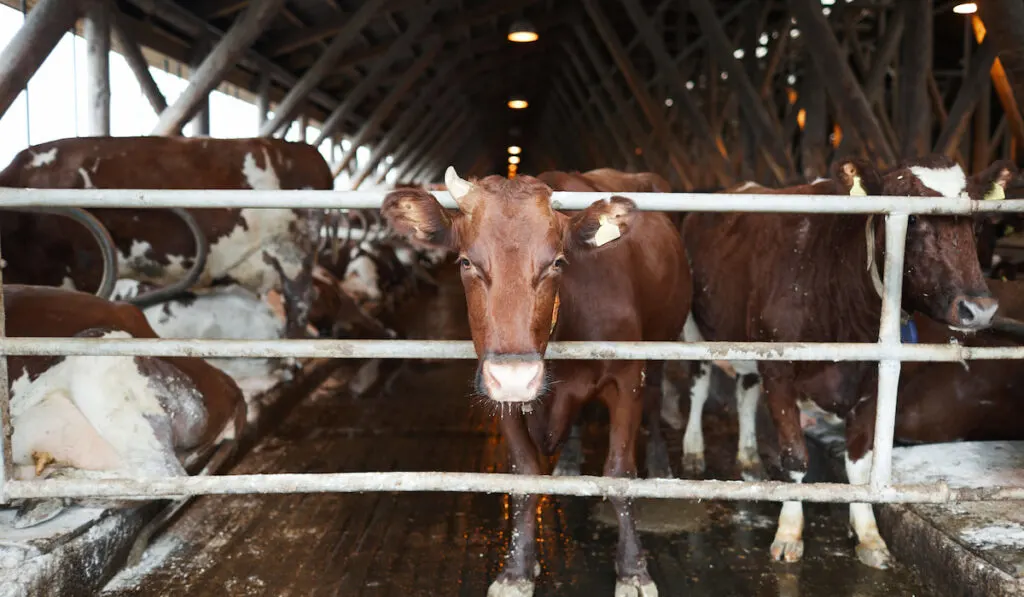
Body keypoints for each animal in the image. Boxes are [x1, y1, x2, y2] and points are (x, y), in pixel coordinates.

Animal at [385, 166, 688, 597]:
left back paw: (661, 464)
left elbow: (619, 473)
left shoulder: (627, 378)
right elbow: (526, 473)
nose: (517, 374)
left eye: (557, 262)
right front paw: (518, 568)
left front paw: (633, 569)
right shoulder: (500, 389)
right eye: (466, 262)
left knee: (657, 397)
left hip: (664, 344)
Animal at [679, 155, 1007, 569]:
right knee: (699, 383)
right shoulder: (780, 372)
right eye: (913, 218)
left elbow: (859, 465)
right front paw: (789, 532)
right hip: (696, 328)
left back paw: (749, 456)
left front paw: (868, 534)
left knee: (745, 390)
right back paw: (693, 451)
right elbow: (796, 458)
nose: (979, 309)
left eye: (975, 222)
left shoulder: (872, 383)